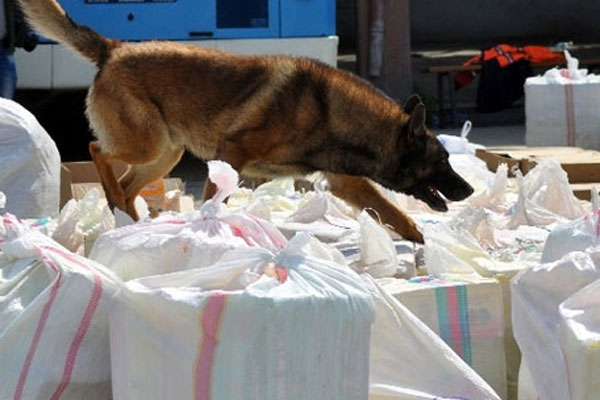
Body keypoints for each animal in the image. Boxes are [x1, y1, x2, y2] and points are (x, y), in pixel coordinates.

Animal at [18, 0, 474, 242]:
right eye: (442, 161)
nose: (469, 189)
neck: (330, 111)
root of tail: (113, 49)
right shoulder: (231, 155)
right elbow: (212, 201)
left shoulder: (347, 183)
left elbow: (399, 216)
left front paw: (425, 247)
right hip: (147, 145)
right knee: (97, 150)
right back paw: (118, 203)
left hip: (165, 154)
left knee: (126, 183)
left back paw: (128, 217)